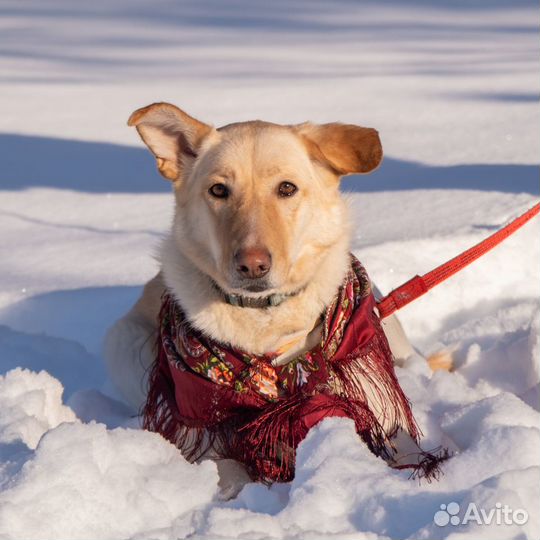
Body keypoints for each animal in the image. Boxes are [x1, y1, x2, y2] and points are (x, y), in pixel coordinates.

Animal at [105, 103, 452, 496]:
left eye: (287, 188)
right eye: (218, 190)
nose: (252, 265)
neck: (267, 319)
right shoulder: (201, 429)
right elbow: (227, 471)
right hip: (124, 342)